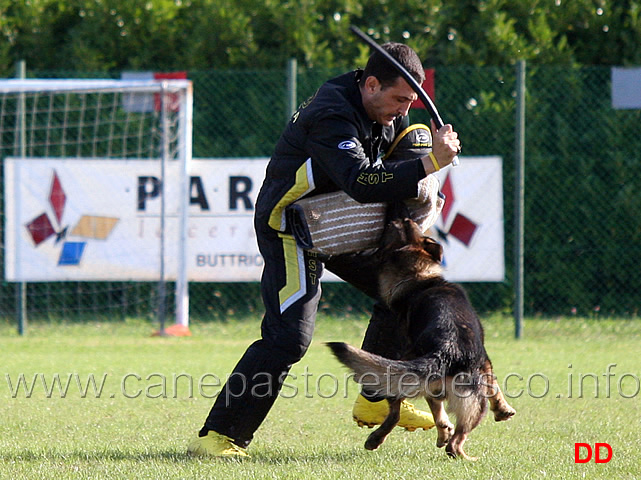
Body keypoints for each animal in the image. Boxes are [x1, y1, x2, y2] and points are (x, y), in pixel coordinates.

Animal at [330, 218, 516, 462]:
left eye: (404, 229)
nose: (400, 218)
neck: (419, 279)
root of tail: (446, 350)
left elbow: (439, 410)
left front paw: (443, 429)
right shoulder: (484, 362)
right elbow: (494, 385)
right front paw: (503, 409)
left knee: (399, 413)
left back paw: (376, 439)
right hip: (472, 404)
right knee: (454, 443)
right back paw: (469, 458)